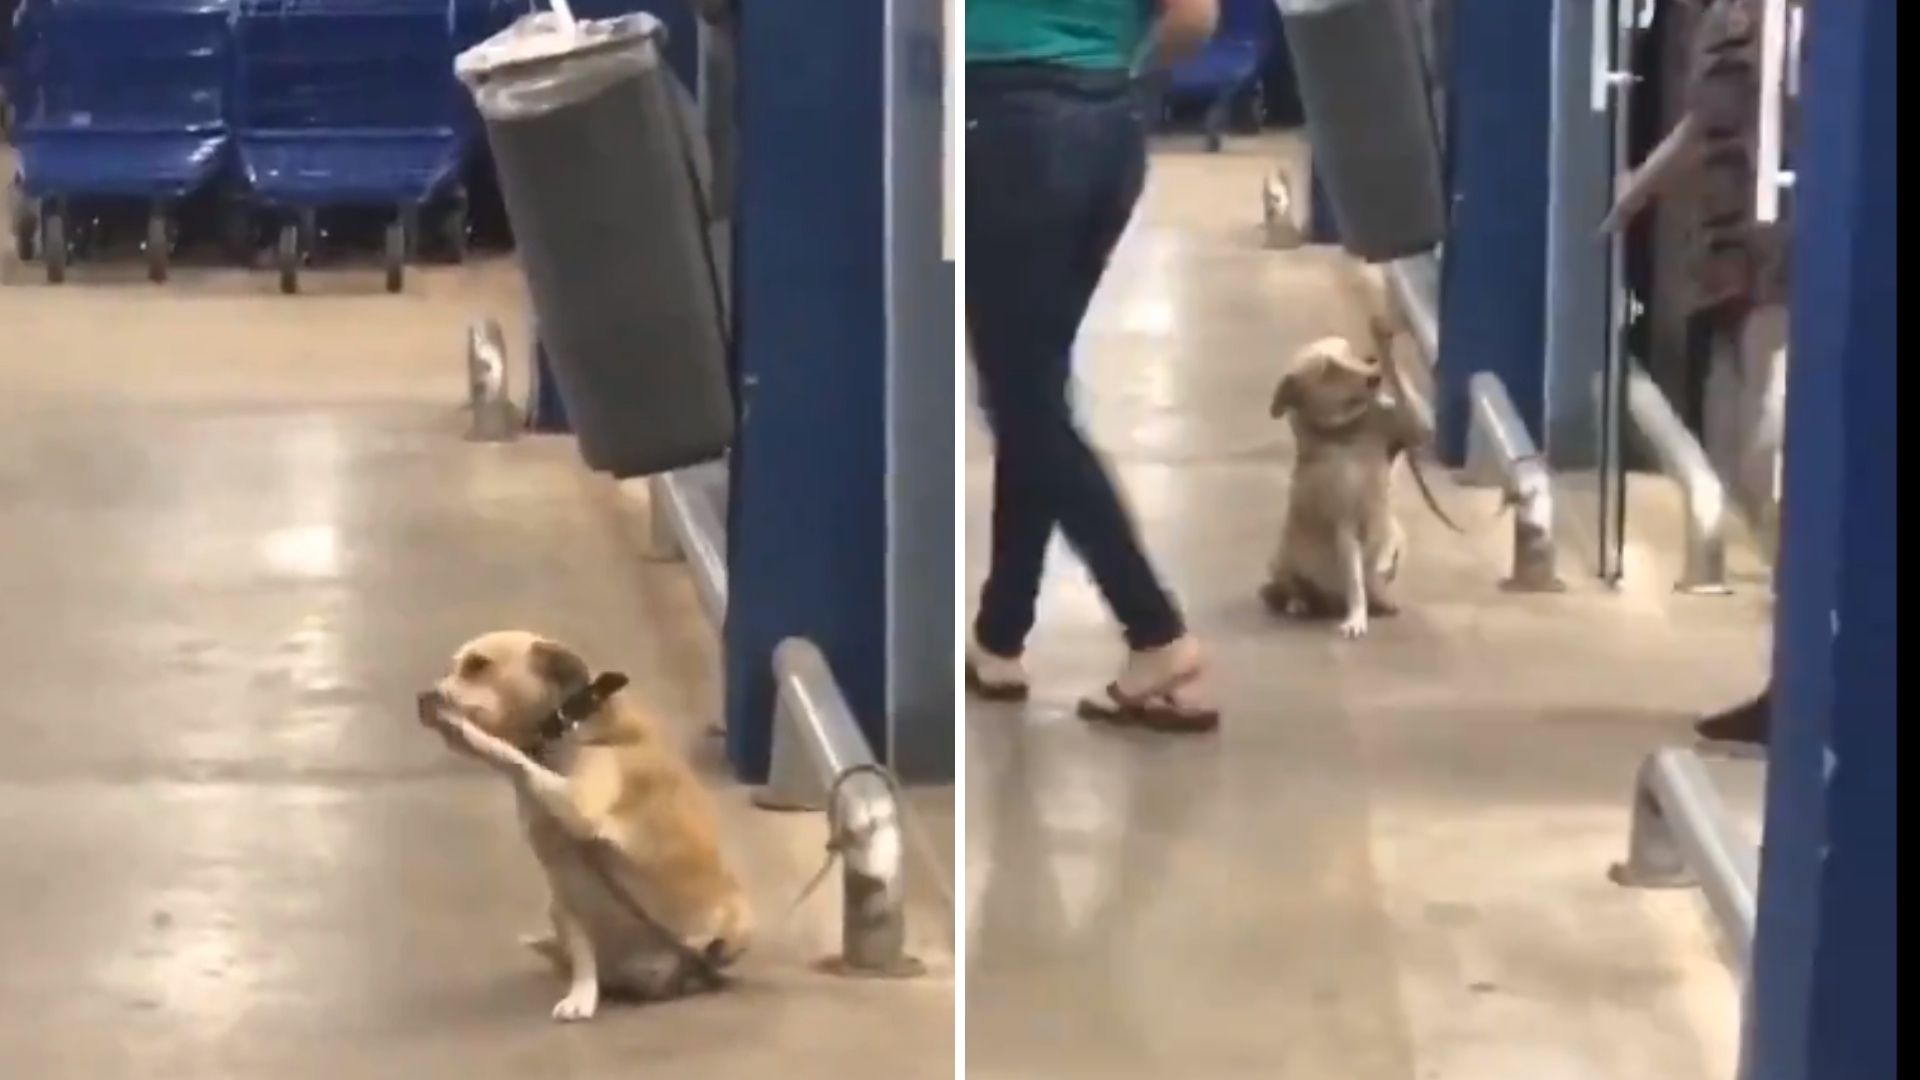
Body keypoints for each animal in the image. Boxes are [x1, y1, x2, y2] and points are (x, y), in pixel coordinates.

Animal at [420, 622, 748, 1014]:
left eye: (478, 665)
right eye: (451, 668)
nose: (425, 697)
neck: (564, 731)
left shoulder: (579, 805)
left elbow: (509, 755)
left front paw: (466, 733)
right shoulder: (563, 878)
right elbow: (581, 952)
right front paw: (581, 995)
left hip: (735, 915)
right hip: (558, 911)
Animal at [1259, 336, 1428, 634]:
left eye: (1350, 353)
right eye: (1327, 370)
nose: (1374, 373)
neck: (1348, 431)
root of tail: (1330, 602)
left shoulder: (1409, 429)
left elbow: (1416, 420)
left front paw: (1389, 356)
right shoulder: (1345, 526)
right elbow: (1355, 583)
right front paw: (1356, 617)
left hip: (1399, 537)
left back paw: (1380, 598)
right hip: (1281, 560)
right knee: (1288, 589)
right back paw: (1298, 603)